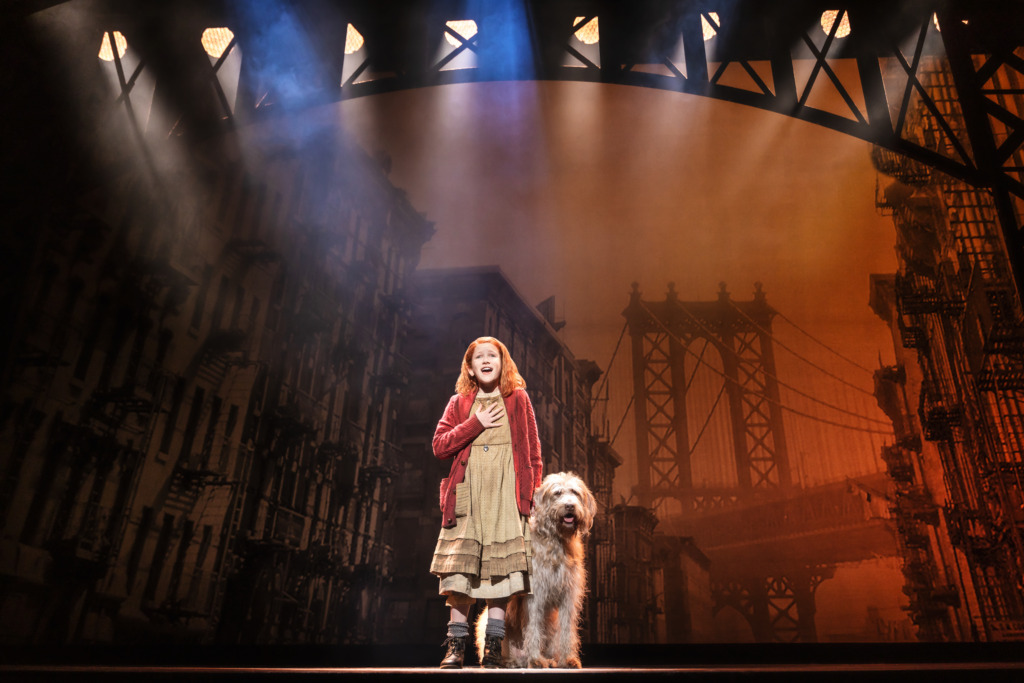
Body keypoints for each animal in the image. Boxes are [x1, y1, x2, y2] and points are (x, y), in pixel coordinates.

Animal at [479, 473, 598, 671]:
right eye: (557, 493)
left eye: (575, 492)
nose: (570, 506)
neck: (556, 541)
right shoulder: (535, 594)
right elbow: (533, 626)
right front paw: (535, 659)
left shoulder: (568, 596)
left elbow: (567, 629)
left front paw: (568, 659)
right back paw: (510, 661)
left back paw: (550, 660)